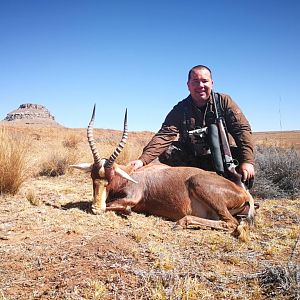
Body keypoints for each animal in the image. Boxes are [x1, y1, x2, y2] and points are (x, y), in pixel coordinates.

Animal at [71, 106, 255, 240]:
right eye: (92, 177)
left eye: (110, 178)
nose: (96, 208)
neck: (133, 173)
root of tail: (243, 192)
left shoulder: (133, 198)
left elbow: (115, 205)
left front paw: (126, 211)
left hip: (201, 187)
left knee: (230, 222)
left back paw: (181, 222)